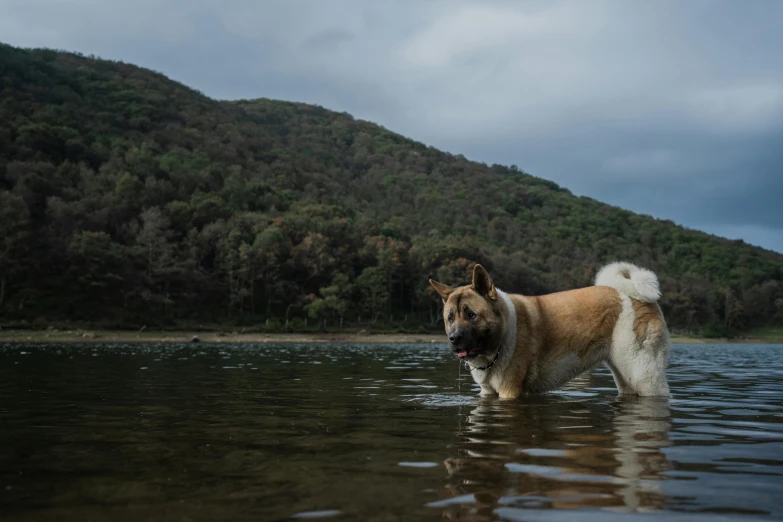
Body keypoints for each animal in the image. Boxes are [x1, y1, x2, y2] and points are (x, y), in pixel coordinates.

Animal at [432, 260, 672, 398]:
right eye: (450, 318)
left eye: (471, 315)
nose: (454, 338)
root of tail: (630, 294)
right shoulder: (488, 393)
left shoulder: (509, 392)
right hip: (625, 377)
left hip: (643, 376)